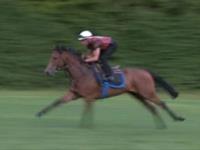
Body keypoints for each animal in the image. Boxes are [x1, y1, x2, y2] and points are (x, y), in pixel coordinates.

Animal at [36, 44, 185, 127]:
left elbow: (87, 112)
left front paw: (85, 126)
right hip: (138, 95)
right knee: (152, 108)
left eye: (54, 57)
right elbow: (57, 102)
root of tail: (145, 71)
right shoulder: (74, 94)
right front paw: (40, 113)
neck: (82, 73)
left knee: (162, 104)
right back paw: (161, 126)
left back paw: (178, 118)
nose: (47, 71)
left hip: (147, 92)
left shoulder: (88, 97)